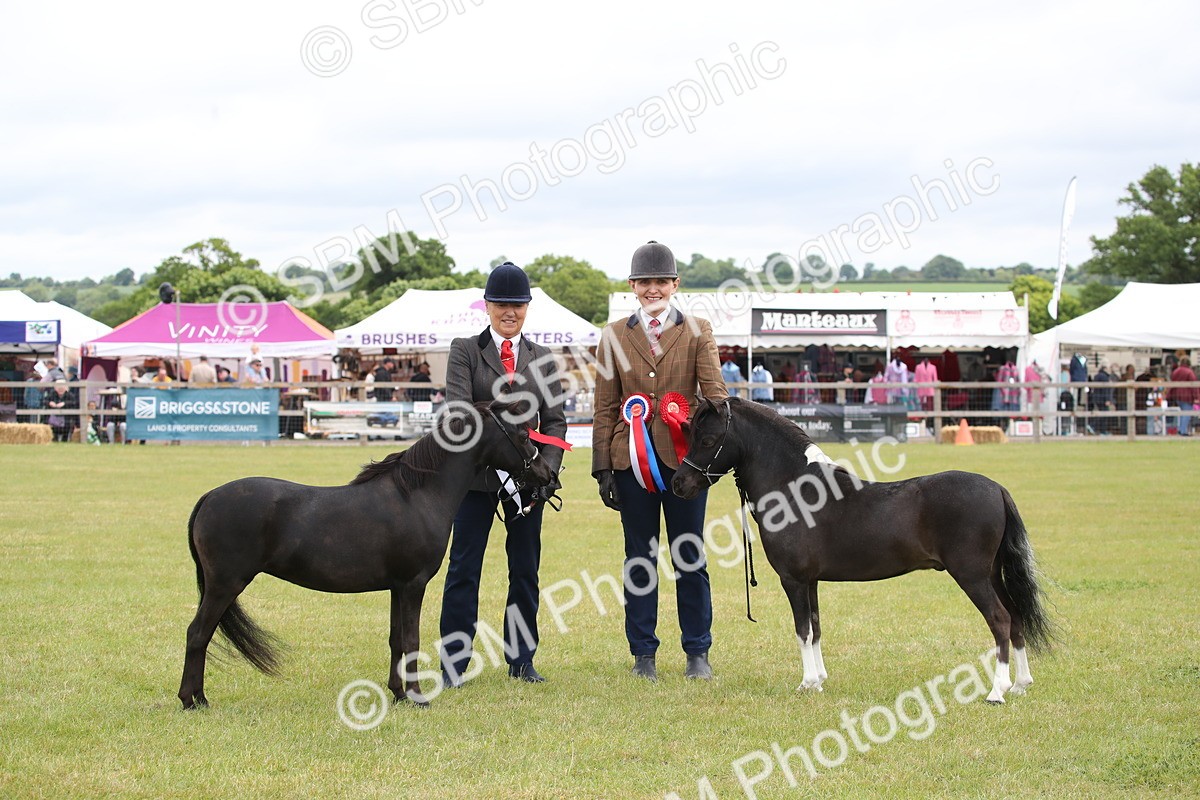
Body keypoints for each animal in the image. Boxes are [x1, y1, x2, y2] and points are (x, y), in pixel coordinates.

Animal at [177, 399, 556, 709]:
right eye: (523, 435)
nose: (548, 475)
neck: (418, 495)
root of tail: (210, 497)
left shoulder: (397, 587)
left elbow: (395, 639)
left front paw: (399, 693)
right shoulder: (413, 584)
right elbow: (411, 638)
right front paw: (418, 697)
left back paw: (199, 697)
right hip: (225, 585)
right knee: (197, 634)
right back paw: (192, 701)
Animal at [672, 397, 1052, 703]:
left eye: (707, 439)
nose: (678, 483)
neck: (794, 490)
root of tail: (997, 488)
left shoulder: (793, 580)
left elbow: (802, 630)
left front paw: (806, 683)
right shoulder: (811, 581)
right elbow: (816, 627)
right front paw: (819, 682)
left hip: (972, 576)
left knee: (1000, 620)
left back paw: (997, 692)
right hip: (992, 574)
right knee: (1016, 618)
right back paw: (1020, 685)